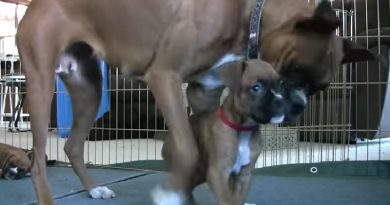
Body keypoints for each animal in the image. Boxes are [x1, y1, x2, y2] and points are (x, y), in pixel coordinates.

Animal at [16, 0, 376, 204]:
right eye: (294, 71)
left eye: (320, 88)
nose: (299, 105)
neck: (247, 15)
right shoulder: (165, 77)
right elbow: (188, 150)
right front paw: (173, 192)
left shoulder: (204, 92)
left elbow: (209, 146)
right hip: (40, 84)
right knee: (38, 160)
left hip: (88, 89)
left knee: (73, 145)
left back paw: (94, 189)